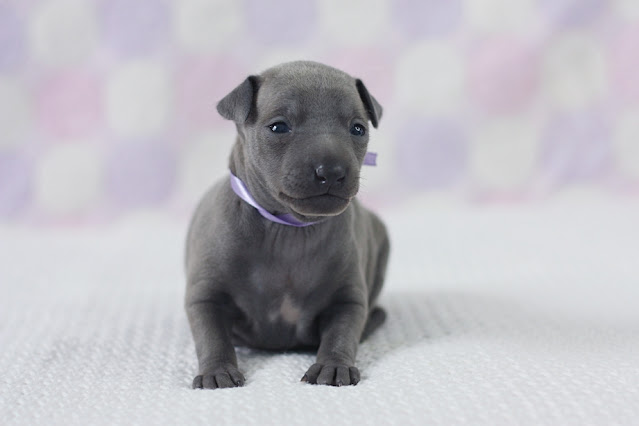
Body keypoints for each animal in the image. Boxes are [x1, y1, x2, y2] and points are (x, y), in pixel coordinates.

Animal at [184, 60, 390, 390]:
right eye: (279, 126)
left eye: (357, 128)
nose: (331, 171)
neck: (286, 229)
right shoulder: (205, 295)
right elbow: (212, 335)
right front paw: (217, 370)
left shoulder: (347, 298)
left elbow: (342, 332)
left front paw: (333, 365)